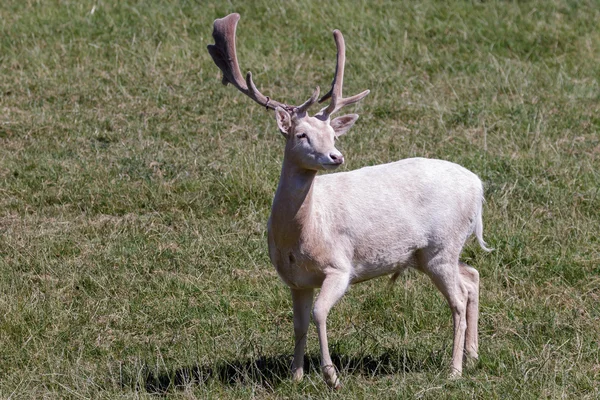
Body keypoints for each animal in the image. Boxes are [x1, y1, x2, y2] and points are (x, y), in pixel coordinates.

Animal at [209, 14, 490, 390]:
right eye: (302, 134)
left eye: (333, 135)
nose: (336, 156)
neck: (302, 235)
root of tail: (477, 188)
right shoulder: (295, 279)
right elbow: (298, 323)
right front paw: (295, 375)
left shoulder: (340, 267)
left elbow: (319, 314)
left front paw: (331, 376)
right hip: (428, 253)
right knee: (471, 275)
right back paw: (473, 355)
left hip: (442, 246)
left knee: (458, 299)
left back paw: (454, 370)